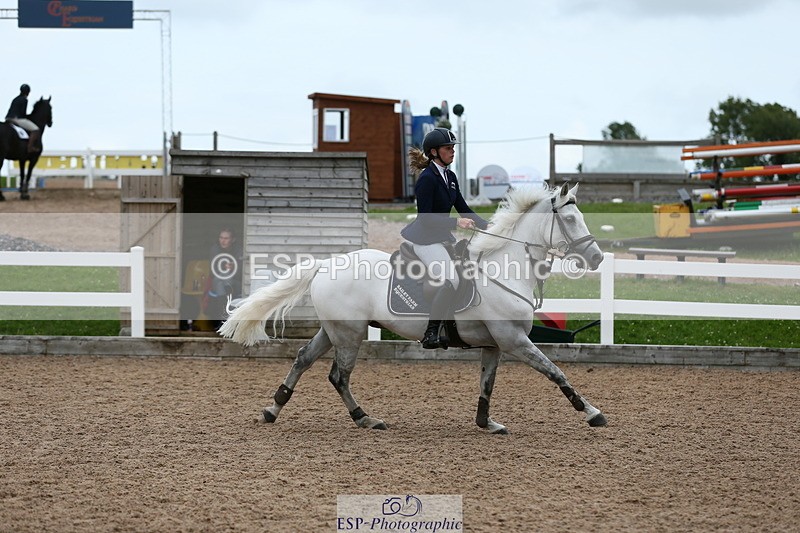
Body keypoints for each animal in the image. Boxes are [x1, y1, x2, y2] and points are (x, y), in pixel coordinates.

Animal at [220, 182, 608, 433]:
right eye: (570, 220)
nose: (597, 258)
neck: (505, 268)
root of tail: (327, 263)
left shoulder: (495, 344)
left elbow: (487, 384)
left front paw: (485, 423)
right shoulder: (514, 340)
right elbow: (556, 373)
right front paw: (591, 412)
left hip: (334, 330)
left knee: (304, 359)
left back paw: (273, 409)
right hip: (349, 333)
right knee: (339, 375)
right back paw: (365, 418)